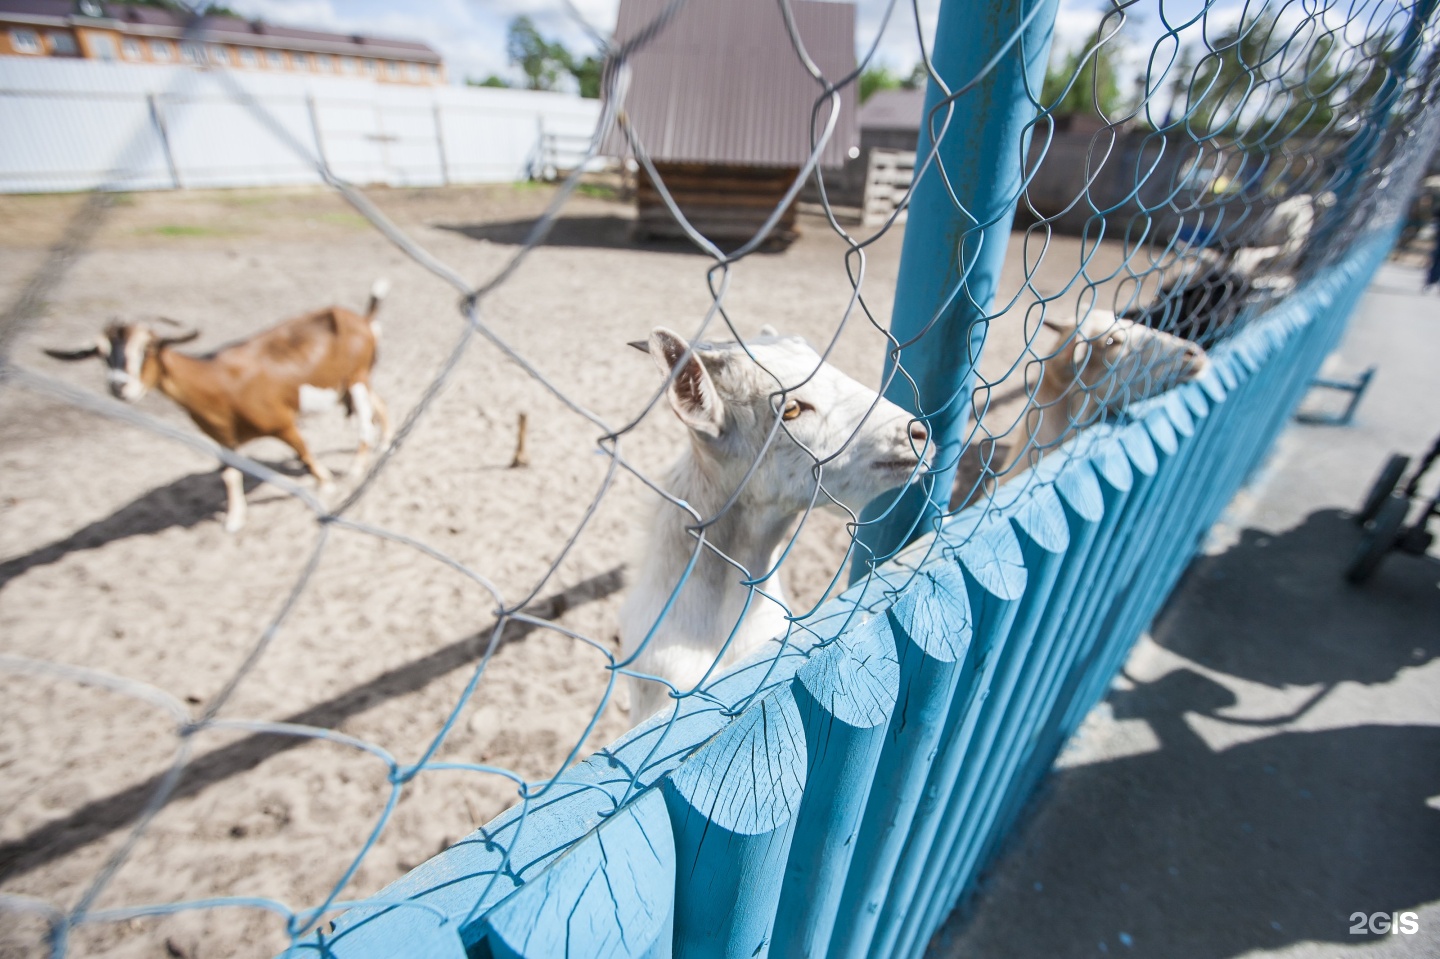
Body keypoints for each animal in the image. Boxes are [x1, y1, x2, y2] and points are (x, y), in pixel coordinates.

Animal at [47, 277, 394, 529]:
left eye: (147, 349)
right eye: (101, 353)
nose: (119, 386)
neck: (218, 382)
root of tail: (361, 318)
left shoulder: (281, 422)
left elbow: (305, 453)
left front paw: (327, 486)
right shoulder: (223, 438)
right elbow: (230, 475)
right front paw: (235, 520)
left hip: (355, 378)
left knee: (364, 423)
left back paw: (357, 467)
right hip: (350, 382)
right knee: (378, 406)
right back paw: (384, 443)